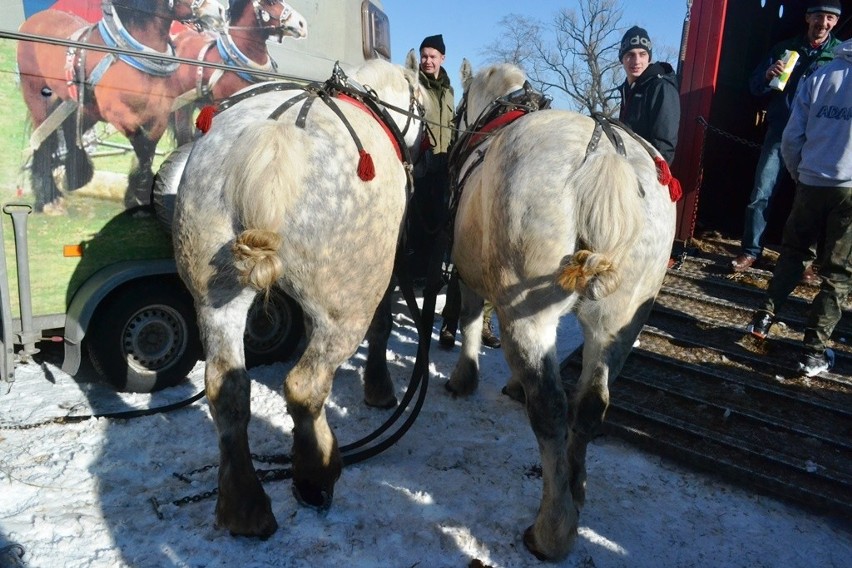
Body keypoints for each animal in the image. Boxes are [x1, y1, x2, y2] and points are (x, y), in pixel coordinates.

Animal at [171, 55, 426, 540]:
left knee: (226, 389)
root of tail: (273, 143)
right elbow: (383, 326)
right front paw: (380, 390)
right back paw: (315, 475)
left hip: (215, 297)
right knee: (305, 385)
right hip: (347, 306)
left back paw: (245, 508)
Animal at [446, 61, 680, 560]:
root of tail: (604, 158)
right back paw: (576, 486)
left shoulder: (467, 273)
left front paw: (464, 377)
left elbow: (470, 318)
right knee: (589, 405)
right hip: (623, 322)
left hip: (530, 313)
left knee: (551, 409)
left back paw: (551, 530)